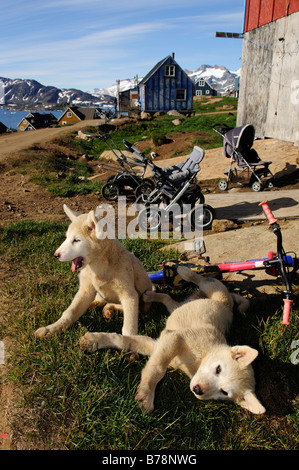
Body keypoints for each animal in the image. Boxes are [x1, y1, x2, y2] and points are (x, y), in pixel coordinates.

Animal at [34, 205, 152, 338]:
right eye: (67, 238)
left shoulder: (129, 295)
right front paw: (51, 329)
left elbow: (129, 326)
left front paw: (128, 340)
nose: (56, 255)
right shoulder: (86, 290)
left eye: (76, 240)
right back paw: (94, 305)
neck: (98, 266)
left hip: (145, 297)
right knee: (99, 300)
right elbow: (70, 312)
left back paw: (108, 309)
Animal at [79, 266, 264, 416]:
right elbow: (156, 369)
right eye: (218, 369)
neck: (199, 358)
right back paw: (184, 271)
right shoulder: (173, 338)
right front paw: (147, 395)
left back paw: (147, 296)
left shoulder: (159, 343)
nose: (198, 390)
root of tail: (230, 302)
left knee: (168, 299)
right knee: (203, 280)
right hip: (215, 290)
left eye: (224, 392)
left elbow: (125, 341)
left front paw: (93, 341)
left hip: (177, 308)